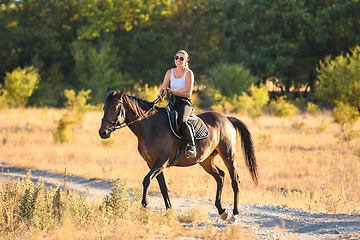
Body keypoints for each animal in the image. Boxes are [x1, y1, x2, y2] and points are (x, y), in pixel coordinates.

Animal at [100, 86, 260, 221]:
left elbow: (146, 180)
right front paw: (169, 211)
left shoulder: (162, 162)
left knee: (235, 181)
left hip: (228, 155)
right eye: (104, 108)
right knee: (220, 176)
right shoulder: (152, 163)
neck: (150, 127)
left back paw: (235, 214)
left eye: (115, 108)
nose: (103, 132)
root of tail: (226, 118)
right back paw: (222, 211)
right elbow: (163, 187)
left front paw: (144, 206)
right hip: (206, 161)